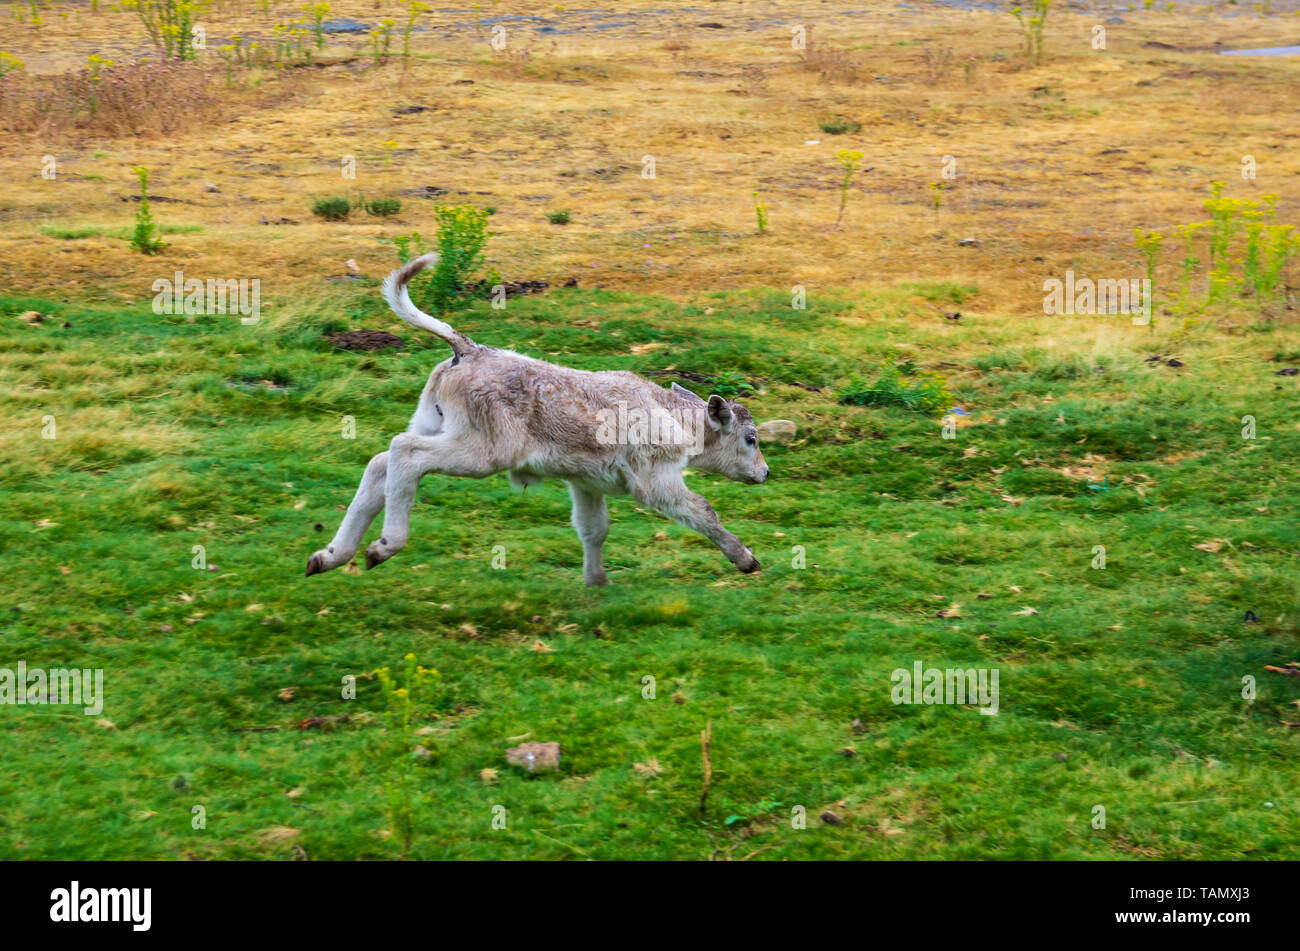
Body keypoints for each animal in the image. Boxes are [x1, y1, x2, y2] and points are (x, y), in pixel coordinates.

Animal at [301, 252, 769, 582]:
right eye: (750, 438)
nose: (765, 473)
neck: (672, 417)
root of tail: (469, 349)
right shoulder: (656, 482)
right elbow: (702, 510)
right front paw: (745, 558)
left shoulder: (587, 481)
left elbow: (593, 528)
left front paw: (596, 582)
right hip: (483, 451)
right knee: (406, 454)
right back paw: (383, 546)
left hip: (437, 425)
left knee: (381, 462)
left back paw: (329, 556)